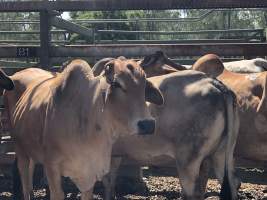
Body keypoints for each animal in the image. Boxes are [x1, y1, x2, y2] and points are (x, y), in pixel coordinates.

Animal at [2, 58, 164, 199]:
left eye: (144, 86)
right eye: (117, 84)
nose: (148, 124)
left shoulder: (90, 173)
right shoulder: (51, 167)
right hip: (20, 149)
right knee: (24, 178)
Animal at [93, 57, 240, 199]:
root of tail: (214, 83)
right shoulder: (114, 155)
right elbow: (109, 182)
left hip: (188, 161)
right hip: (222, 154)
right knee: (232, 184)